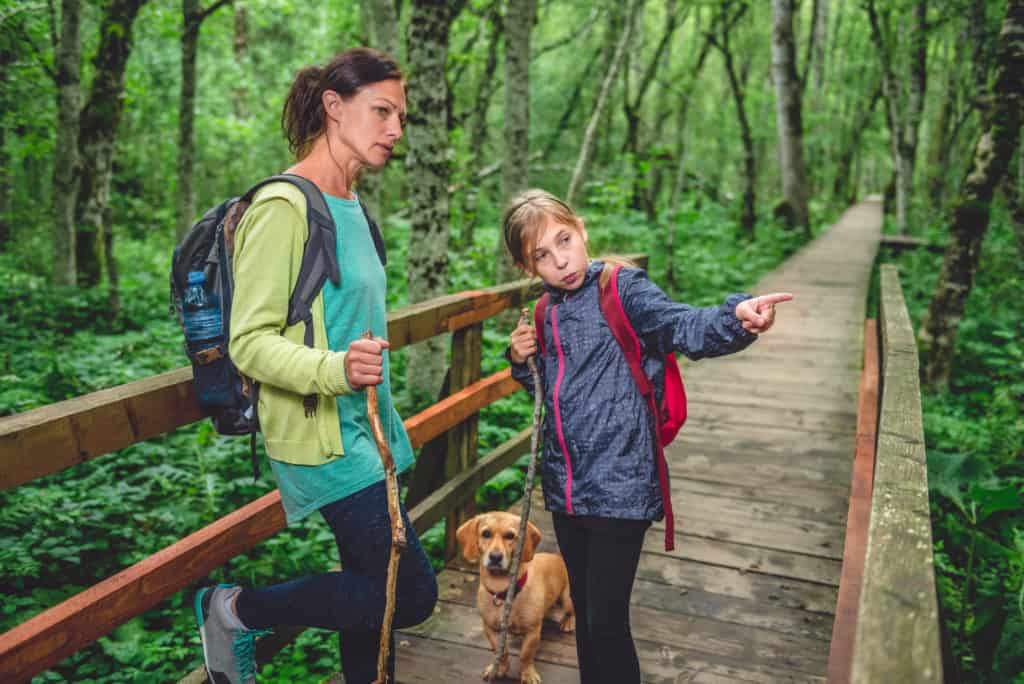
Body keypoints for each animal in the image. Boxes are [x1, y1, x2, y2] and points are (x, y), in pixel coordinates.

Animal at [458, 511, 577, 684]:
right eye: (486, 534)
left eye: (510, 536)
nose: (495, 556)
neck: (503, 591)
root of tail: (559, 558)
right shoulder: (490, 628)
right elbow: (500, 652)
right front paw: (499, 668)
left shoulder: (533, 631)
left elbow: (525, 655)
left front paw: (528, 674)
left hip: (567, 598)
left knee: (571, 611)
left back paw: (568, 622)